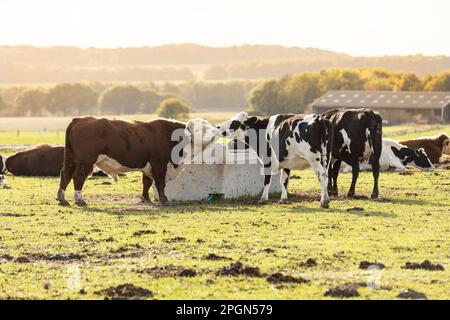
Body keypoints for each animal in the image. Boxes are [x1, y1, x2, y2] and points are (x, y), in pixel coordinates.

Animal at [57, 116, 219, 206]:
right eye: (200, 129)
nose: (216, 131)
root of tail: (80, 119)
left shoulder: (148, 166)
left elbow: (146, 182)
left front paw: (146, 199)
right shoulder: (159, 163)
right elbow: (160, 183)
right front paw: (164, 199)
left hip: (71, 158)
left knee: (65, 174)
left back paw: (62, 199)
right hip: (85, 161)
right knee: (78, 177)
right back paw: (79, 200)